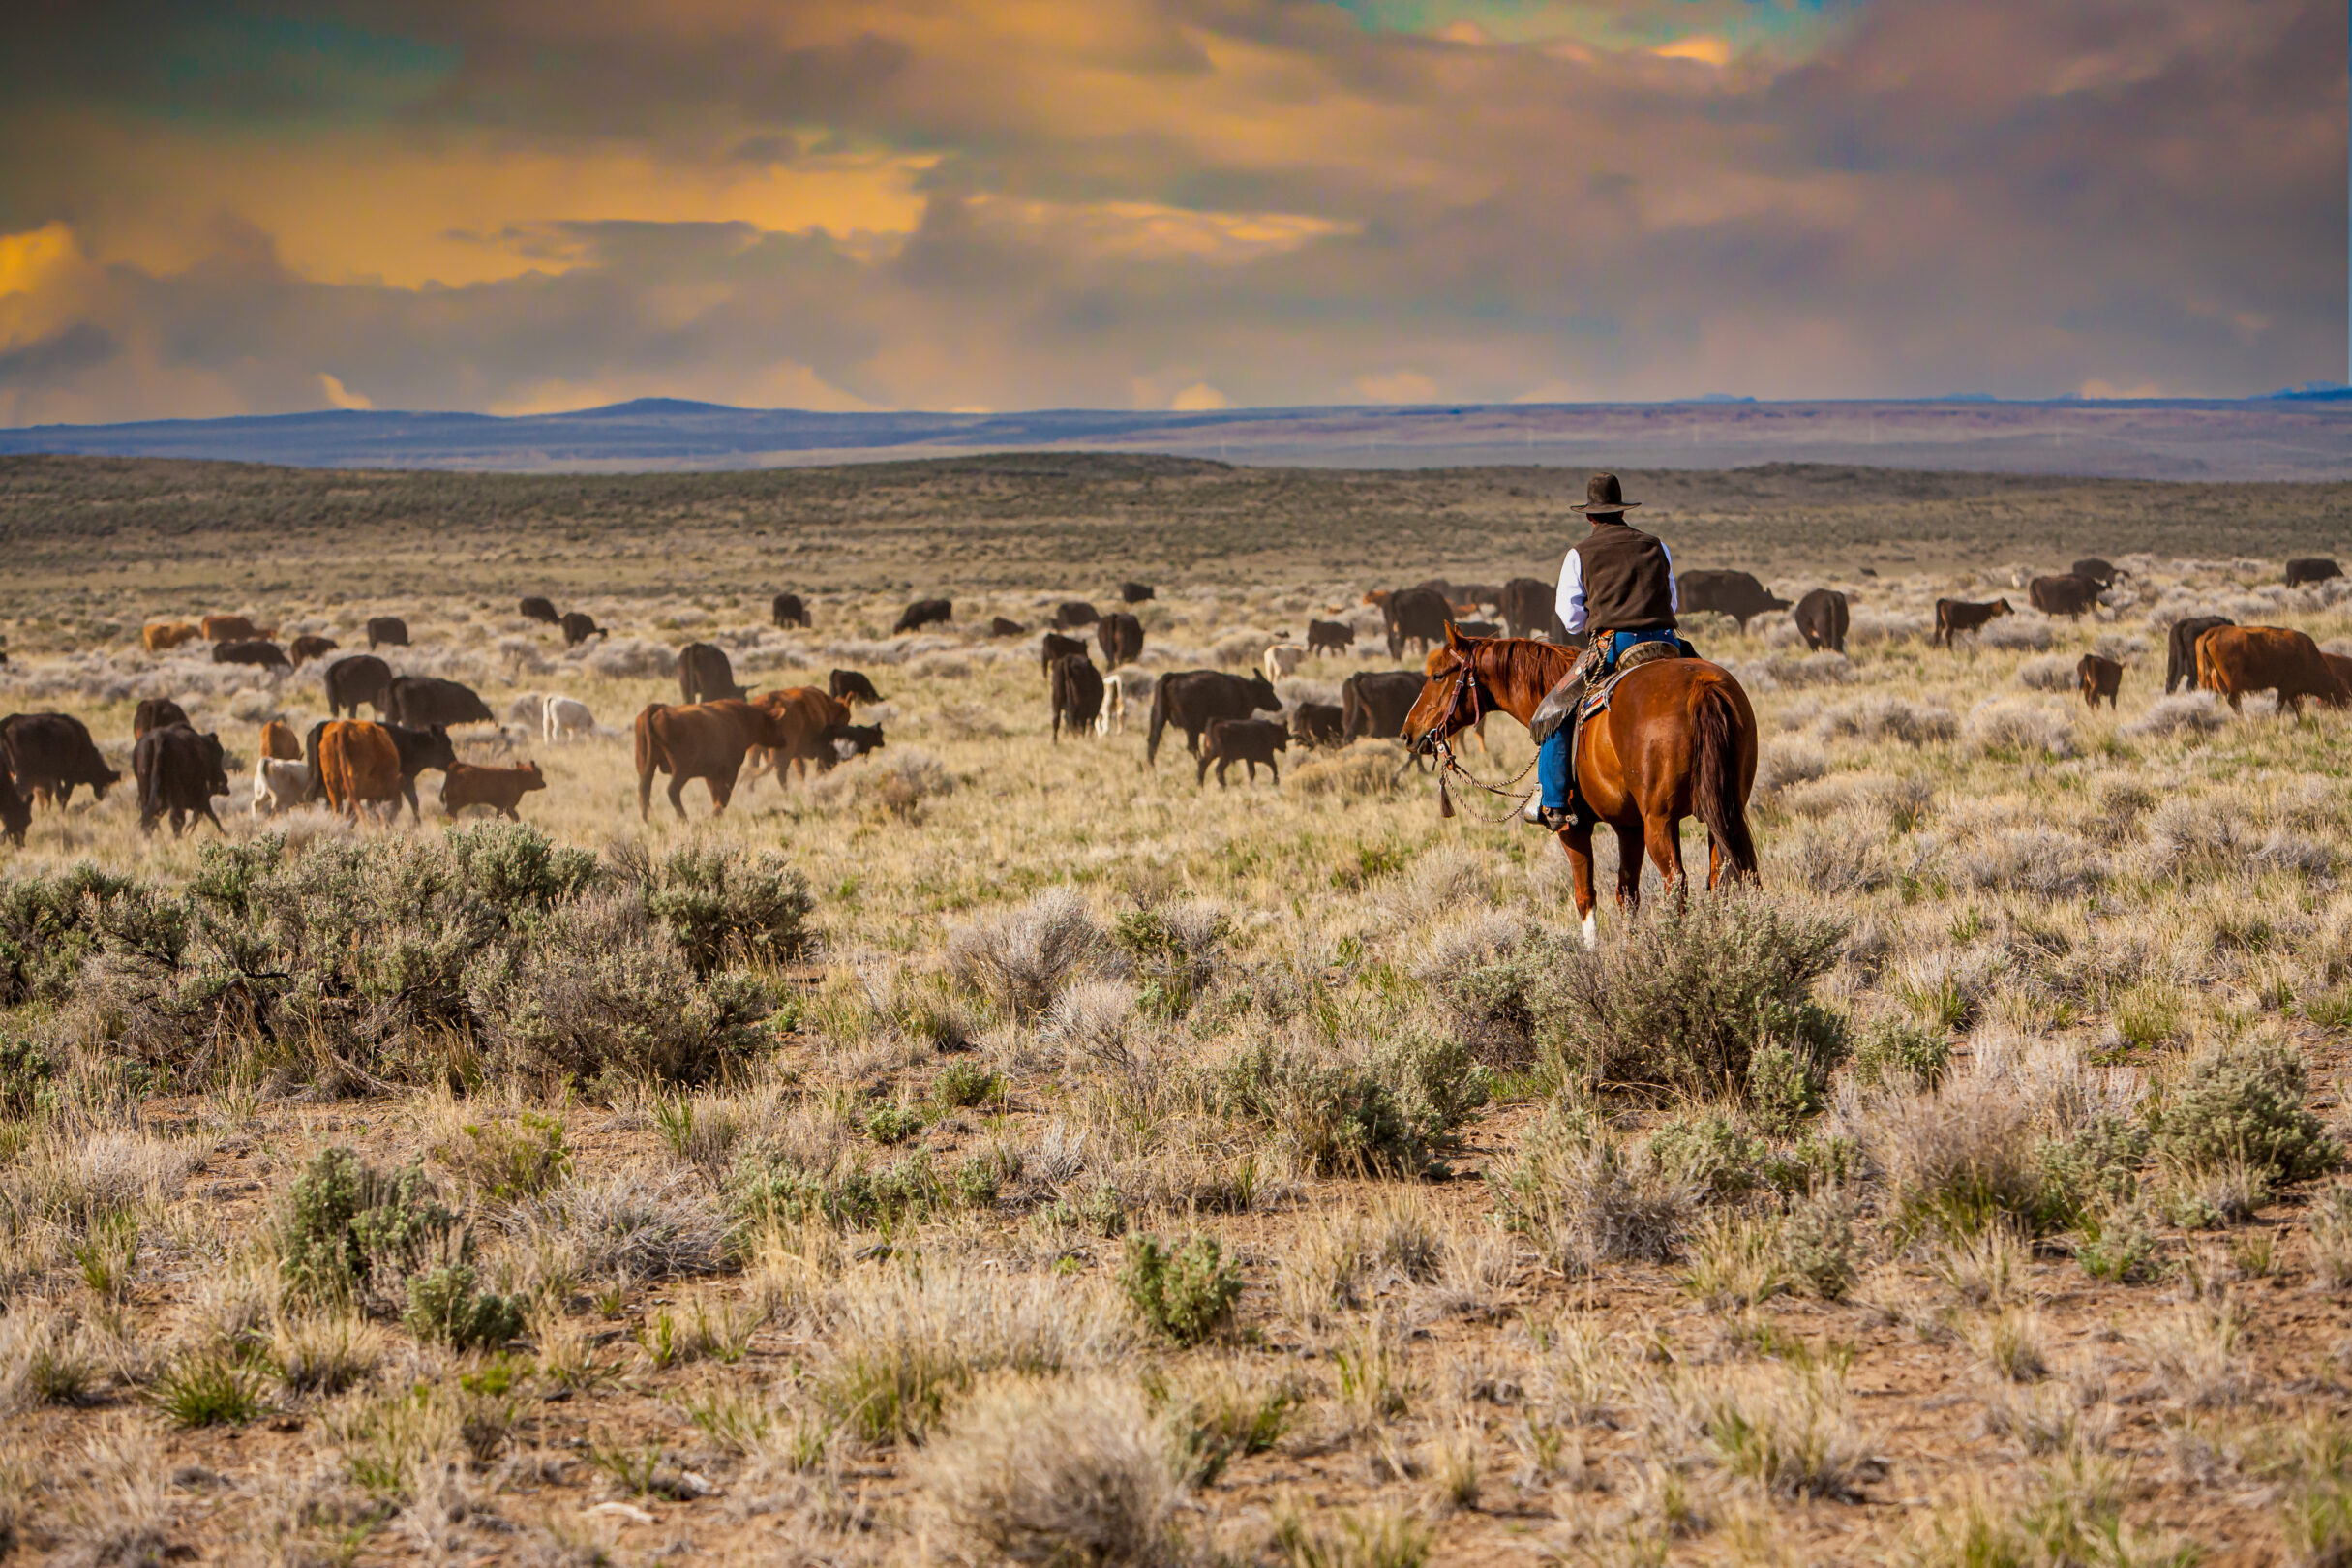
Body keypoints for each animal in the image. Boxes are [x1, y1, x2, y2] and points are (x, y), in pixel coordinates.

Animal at [635, 699, 790, 817]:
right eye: (776, 723)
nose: (783, 740)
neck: (740, 718)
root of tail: (660, 708)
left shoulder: (711, 773)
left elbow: (715, 794)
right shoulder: (730, 771)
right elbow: (724, 795)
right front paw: (715, 814)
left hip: (645, 765)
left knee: (644, 790)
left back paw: (648, 819)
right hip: (681, 770)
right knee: (672, 790)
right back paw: (683, 818)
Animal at [1145, 671, 1282, 765]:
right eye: (1269, 689)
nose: (1279, 704)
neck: (1246, 690)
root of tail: (1174, 676)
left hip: (1159, 720)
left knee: (1153, 743)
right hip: (1191, 728)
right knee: (1192, 747)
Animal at [2197, 626, 2351, 716]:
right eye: (2342, 693)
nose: (2346, 708)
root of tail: (2215, 631)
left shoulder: (2291, 692)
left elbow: (2297, 708)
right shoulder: (2286, 688)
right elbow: (2280, 707)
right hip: (2233, 683)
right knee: (2234, 701)